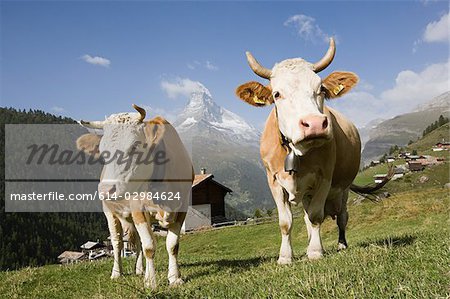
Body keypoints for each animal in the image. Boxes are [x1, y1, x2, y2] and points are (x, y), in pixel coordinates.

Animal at [75, 105, 193, 288]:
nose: (105, 190)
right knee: (117, 243)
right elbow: (149, 246)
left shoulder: (183, 206)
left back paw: (139, 270)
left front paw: (175, 278)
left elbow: (172, 245)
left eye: (135, 146)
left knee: (136, 242)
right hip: (109, 212)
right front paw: (150, 282)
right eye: (103, 152)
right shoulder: (137, 207)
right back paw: (117, 273)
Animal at [234, 38, 364, 264]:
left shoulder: (325, 178)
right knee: (306, 217)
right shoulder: (273, 181)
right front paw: (286, 256)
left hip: (344, 189)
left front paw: (315, 252)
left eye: (321, 90)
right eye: (277, 94)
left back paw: (340, 244)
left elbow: (316, 216)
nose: (315, 124)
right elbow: (286, 222)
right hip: (307, 194)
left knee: (341, 216)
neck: (297, 151)